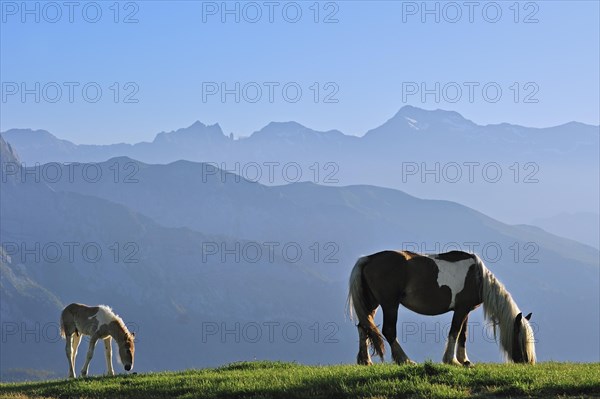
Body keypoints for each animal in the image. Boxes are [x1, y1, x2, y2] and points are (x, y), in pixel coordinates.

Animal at [346, 252, 536, 368]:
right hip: (389, 304)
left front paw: (465, 360)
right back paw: (405, 360)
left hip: (372, 303)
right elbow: (455, 332)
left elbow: (463, 335)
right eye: (521, 339)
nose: (527, 361)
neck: (477, 277)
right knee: (388, 330)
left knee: (363, 327)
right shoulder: (461, 310)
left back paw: (365, 361)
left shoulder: (464, 310)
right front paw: (452, 360)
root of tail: (368, 258)